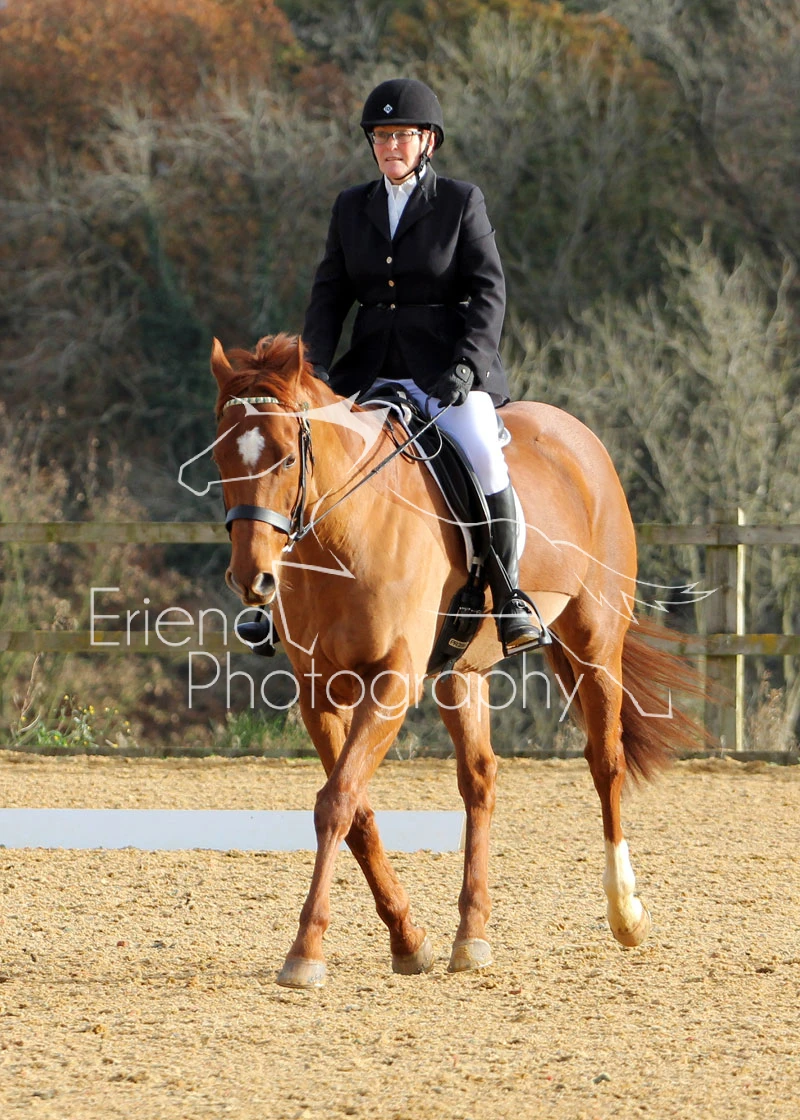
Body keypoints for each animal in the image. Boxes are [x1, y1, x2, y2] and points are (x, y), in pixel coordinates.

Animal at [210, 332, 703, 989]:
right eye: (221, 459)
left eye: (288, 458)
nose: (253, 580)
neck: (344, 534)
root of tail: (577, 436)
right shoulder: (319, 693)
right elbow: (356, 809)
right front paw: (408, 939)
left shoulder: (393, 683)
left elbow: (336, 802)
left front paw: (306, 950)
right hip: (461, 674)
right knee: (480, 781)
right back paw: (471, 935)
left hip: (596, 646)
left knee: (606, 762)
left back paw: (625, 913)